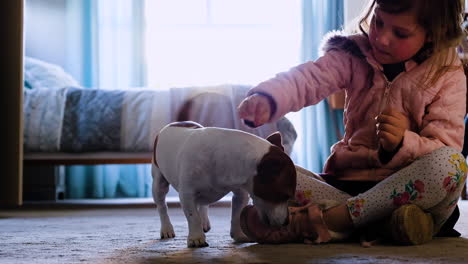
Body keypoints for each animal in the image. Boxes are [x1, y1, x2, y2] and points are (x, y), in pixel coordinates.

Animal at [152, 121, 296, 248]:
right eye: (285, 195)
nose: (287, 222)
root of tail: (174, 123)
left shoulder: (241, 194)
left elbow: (237, 215)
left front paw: (239, 235)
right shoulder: (187, 194)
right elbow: (193, 217)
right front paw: (196, 237)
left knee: (203, 204)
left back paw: (204, 222)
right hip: (158, 183)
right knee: (162, 206)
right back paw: (166, 228)